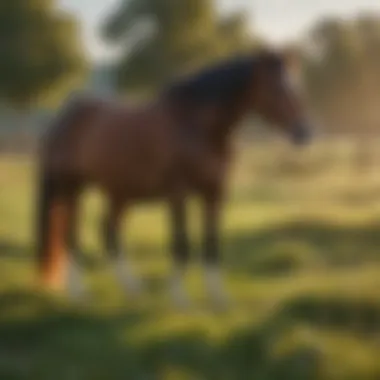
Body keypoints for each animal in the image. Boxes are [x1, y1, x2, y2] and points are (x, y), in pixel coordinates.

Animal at [37, 48, 314, 308]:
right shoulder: (178, 194)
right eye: (276, 89)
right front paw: (180, 299)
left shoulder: (214, 193)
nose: (304, 132)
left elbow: (212, 245)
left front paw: (219, 298)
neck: (196, 126)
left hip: (119, 193)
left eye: (297, 86)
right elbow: (181, 245)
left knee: (109, 232)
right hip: (72, 188)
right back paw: (79, 292)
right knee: (71, 235)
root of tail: (64, 118)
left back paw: (132, 289)